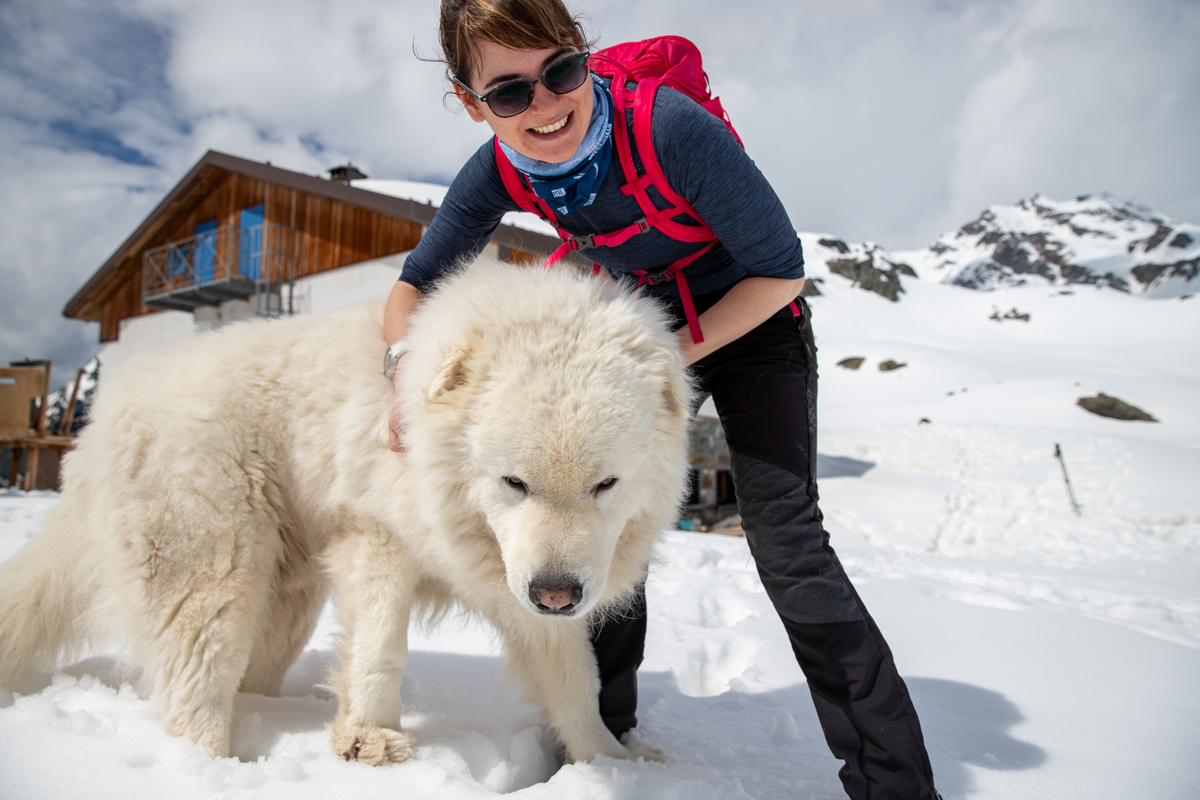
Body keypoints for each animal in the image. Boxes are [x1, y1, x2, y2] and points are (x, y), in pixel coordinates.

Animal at [0, 260, 696, 767]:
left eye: (605, 484)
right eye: (514, 482)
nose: (556, 593)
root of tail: (108, 412)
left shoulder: (524, 574)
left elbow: (575, 677)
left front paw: (608, 759)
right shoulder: (379, 537)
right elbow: (381, 646)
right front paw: (369, 739)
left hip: (286, 593)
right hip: (215, 562)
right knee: (197, 679)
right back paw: (210, 767)